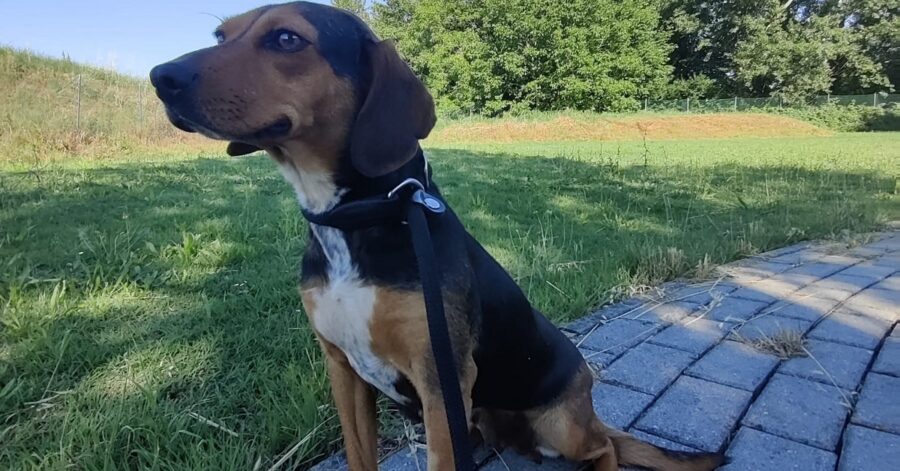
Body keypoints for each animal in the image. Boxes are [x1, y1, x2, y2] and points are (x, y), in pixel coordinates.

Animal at [148, 1, 724, 470]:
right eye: (221, 35)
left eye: (287, 39)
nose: (160, 76)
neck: (354, 219)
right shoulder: (344, 371)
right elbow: (360, 456)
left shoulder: (438, 379)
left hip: (560, 425)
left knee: (606, 449)